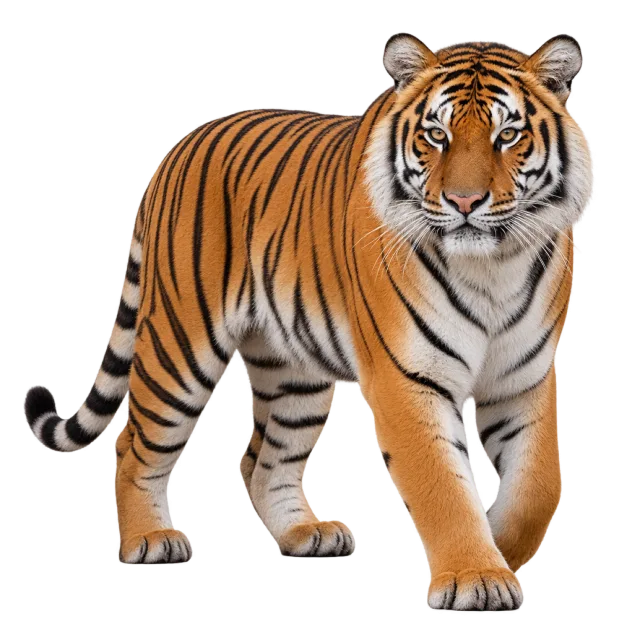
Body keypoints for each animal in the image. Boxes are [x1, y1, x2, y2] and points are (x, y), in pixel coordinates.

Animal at [24, 33, 593, 611]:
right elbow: (442, 484)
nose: (464, 202)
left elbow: (538, 485)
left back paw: (307, 534)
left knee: (262, 465)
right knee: (133, 445)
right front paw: (475, 574)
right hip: (181, 348)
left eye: (508, 136)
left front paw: (499, 557)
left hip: (296, 371)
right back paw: (149, 539)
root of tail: (182, 144)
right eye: (437, 135)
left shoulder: (525, 377)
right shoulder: (407, 379)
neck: (492, 267)